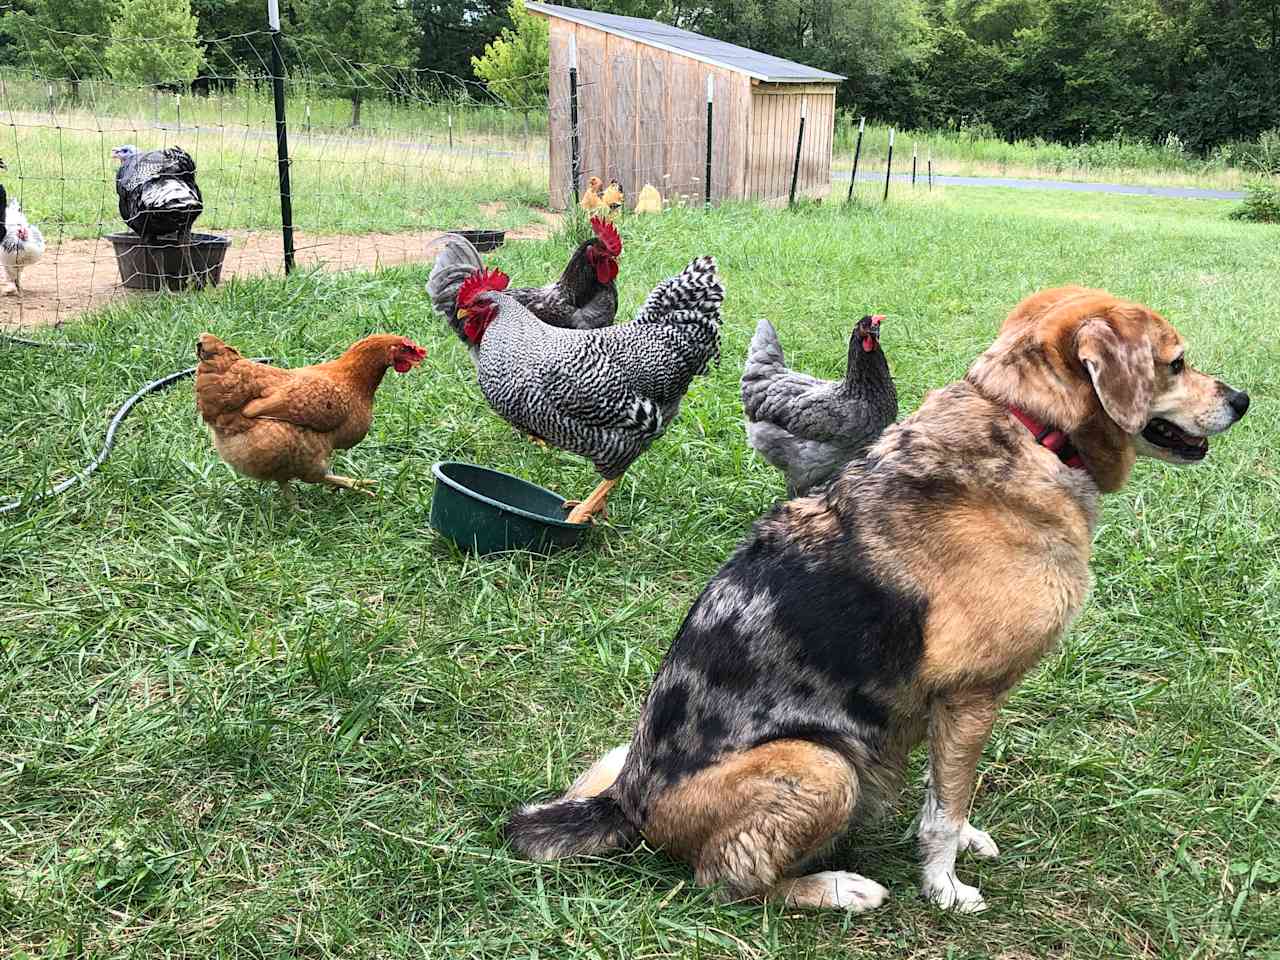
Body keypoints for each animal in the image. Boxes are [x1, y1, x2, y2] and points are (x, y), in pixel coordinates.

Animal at [501, 284, 1249, 911]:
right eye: (1176, 363)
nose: (1242, 400)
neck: (1030, 427)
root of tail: (629, 803)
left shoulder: (947, 709)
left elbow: (944, 792)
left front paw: (962, 842)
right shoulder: (974, 694)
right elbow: (944, 812)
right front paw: (944, 887)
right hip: (823, 765)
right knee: (730, 880)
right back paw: (837, 888)